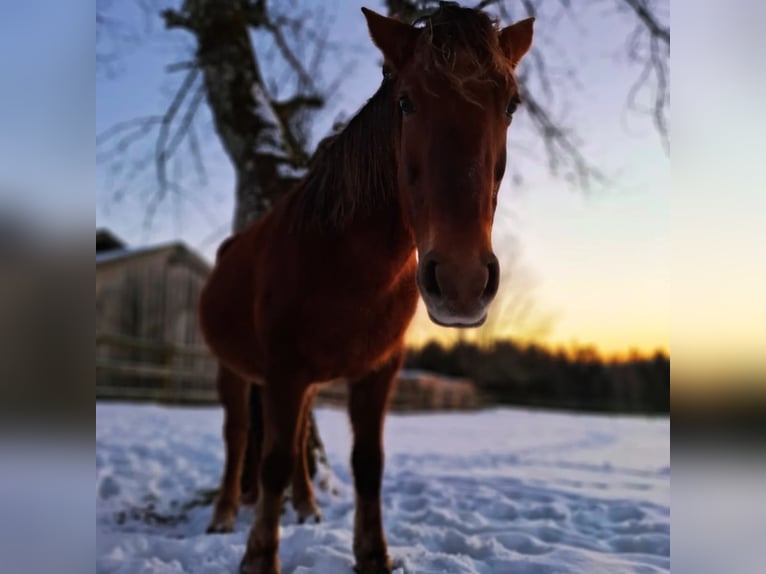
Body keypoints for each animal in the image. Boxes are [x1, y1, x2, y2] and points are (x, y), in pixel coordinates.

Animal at [198, 5, 536, 574]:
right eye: (406, 101)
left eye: (511, 104)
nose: (462, 280)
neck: (343, 263)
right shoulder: (283, 369)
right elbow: (270, 462)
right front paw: (260, 557)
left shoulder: (378, 371)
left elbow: (368, 463)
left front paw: (373, 554)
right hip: (234, 370)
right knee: (238, 436)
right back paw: (223, 515)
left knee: (294, 434)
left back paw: (308, 507)